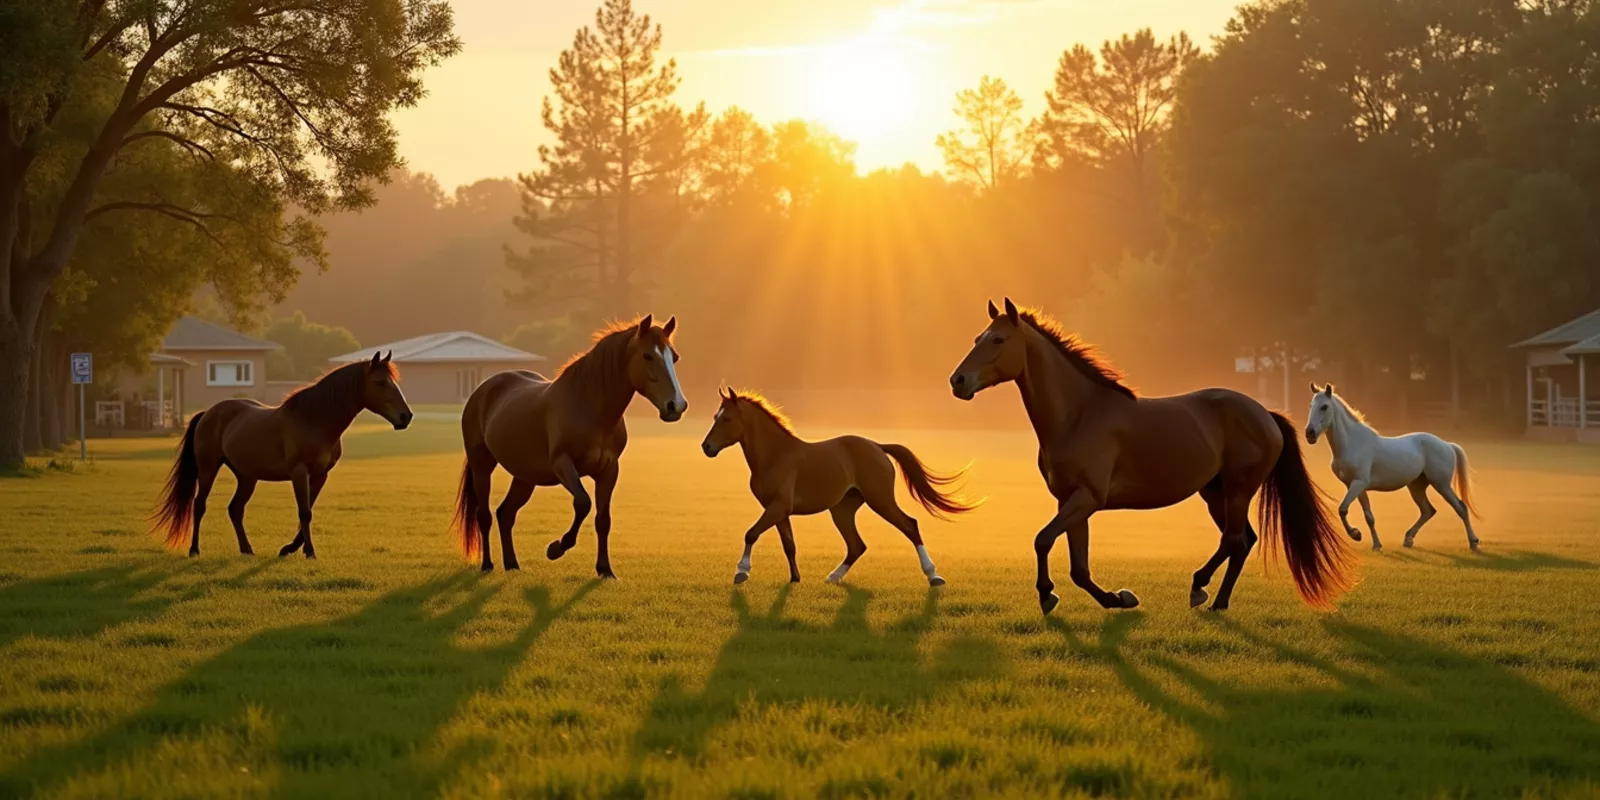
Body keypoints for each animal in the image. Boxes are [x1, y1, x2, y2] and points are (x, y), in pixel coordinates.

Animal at [152, 352, 413, 559]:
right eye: (380, 382)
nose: (406, 416)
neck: (315, 421)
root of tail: (208, 413)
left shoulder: (320, 476)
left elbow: (307, 512)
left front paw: (289, 549)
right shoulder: (299, 472)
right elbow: (304, 512)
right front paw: (309, 551)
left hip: (246, 477)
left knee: (235, 509)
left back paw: (247, 550)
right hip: (208, 468)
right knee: (199, 505)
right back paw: (194, 550)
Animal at [452, 315, 686, 575]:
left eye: (674, 357)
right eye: (647, 356)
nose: (676, 405)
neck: (591, 409)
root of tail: (483, 390)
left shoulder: (609, 471)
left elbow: (603, 519)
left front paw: (605, 569)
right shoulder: (562, 464)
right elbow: (583, 503)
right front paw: (556, 548)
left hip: (524, 477)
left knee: (506, 513)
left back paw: (512, 564)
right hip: (482, 466)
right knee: (484, 515)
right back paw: (487, 564)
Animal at [700, 388, 977, 586]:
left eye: (726, 419)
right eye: (715, 417)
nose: (707, 447)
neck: (776, 455)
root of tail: (877, 446)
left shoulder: (778, 507)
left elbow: (751, 533)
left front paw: (741, 572)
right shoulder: (778, 510)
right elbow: (789, 545)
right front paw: (795, 579)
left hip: (880, 500)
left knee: (910, 526)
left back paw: (934, 576)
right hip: (842, 510)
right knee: (857, 545)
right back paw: (833, 577)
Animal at [948, 298, 1353, 614]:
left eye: (998, 339)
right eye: (976, 339)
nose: (958, 381)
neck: (1079, 414)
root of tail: (1265, 414)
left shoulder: (1087, 499)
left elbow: (1042, 540)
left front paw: (1048, 595)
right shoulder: (1072, 502)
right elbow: (1079, 568)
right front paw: (1119, 599)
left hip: (1238, 490)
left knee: (1233, 540)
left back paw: (1199, 586)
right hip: (1215, 493)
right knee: (1242, 541)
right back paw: (1218, 600)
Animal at [1303, 383, 1481, 552]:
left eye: (1324, 406)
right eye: (1310, 405)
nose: (1309, 434)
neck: (1353, 443)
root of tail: (1447, 445)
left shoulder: (1359, 483)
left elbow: (1343, 509)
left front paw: (1356, 534)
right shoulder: (1355, 486)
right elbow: (1369, 517)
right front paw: (1376, 545)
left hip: (1441, 484)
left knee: (1460, 508)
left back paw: (1473, 542)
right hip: (1416, 486)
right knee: (1428, 511)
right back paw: (1408, 539)